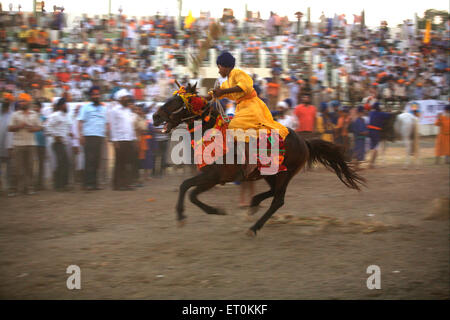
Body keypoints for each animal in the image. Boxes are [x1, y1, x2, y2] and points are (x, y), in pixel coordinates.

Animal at [151, 84, 366, 236]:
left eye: (176, 100)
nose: (155, 116)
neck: (212, 132)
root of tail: (304, 141)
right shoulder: (210, 177)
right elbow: (189, 190)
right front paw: (203, 212)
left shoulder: (213, 177)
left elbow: (188, 190)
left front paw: (190, 214)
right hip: (270, 174)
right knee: (273, 193)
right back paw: (253, 205)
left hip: (285, 173)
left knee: (278, 200)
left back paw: (253, 227)